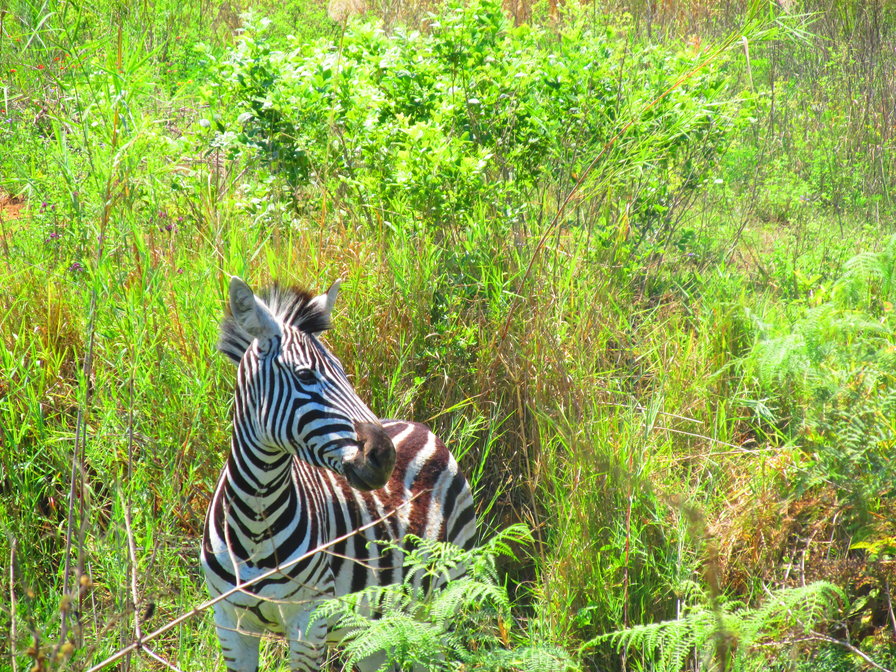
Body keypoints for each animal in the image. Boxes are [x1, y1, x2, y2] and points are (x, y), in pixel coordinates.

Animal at [200, 276, 480, 672]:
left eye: (343, 372)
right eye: (305, 375)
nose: (385, 457)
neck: (256, 521)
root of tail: (419, 426)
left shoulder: (309, 621)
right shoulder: (229, 624)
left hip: (443, 602)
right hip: (375, 629)